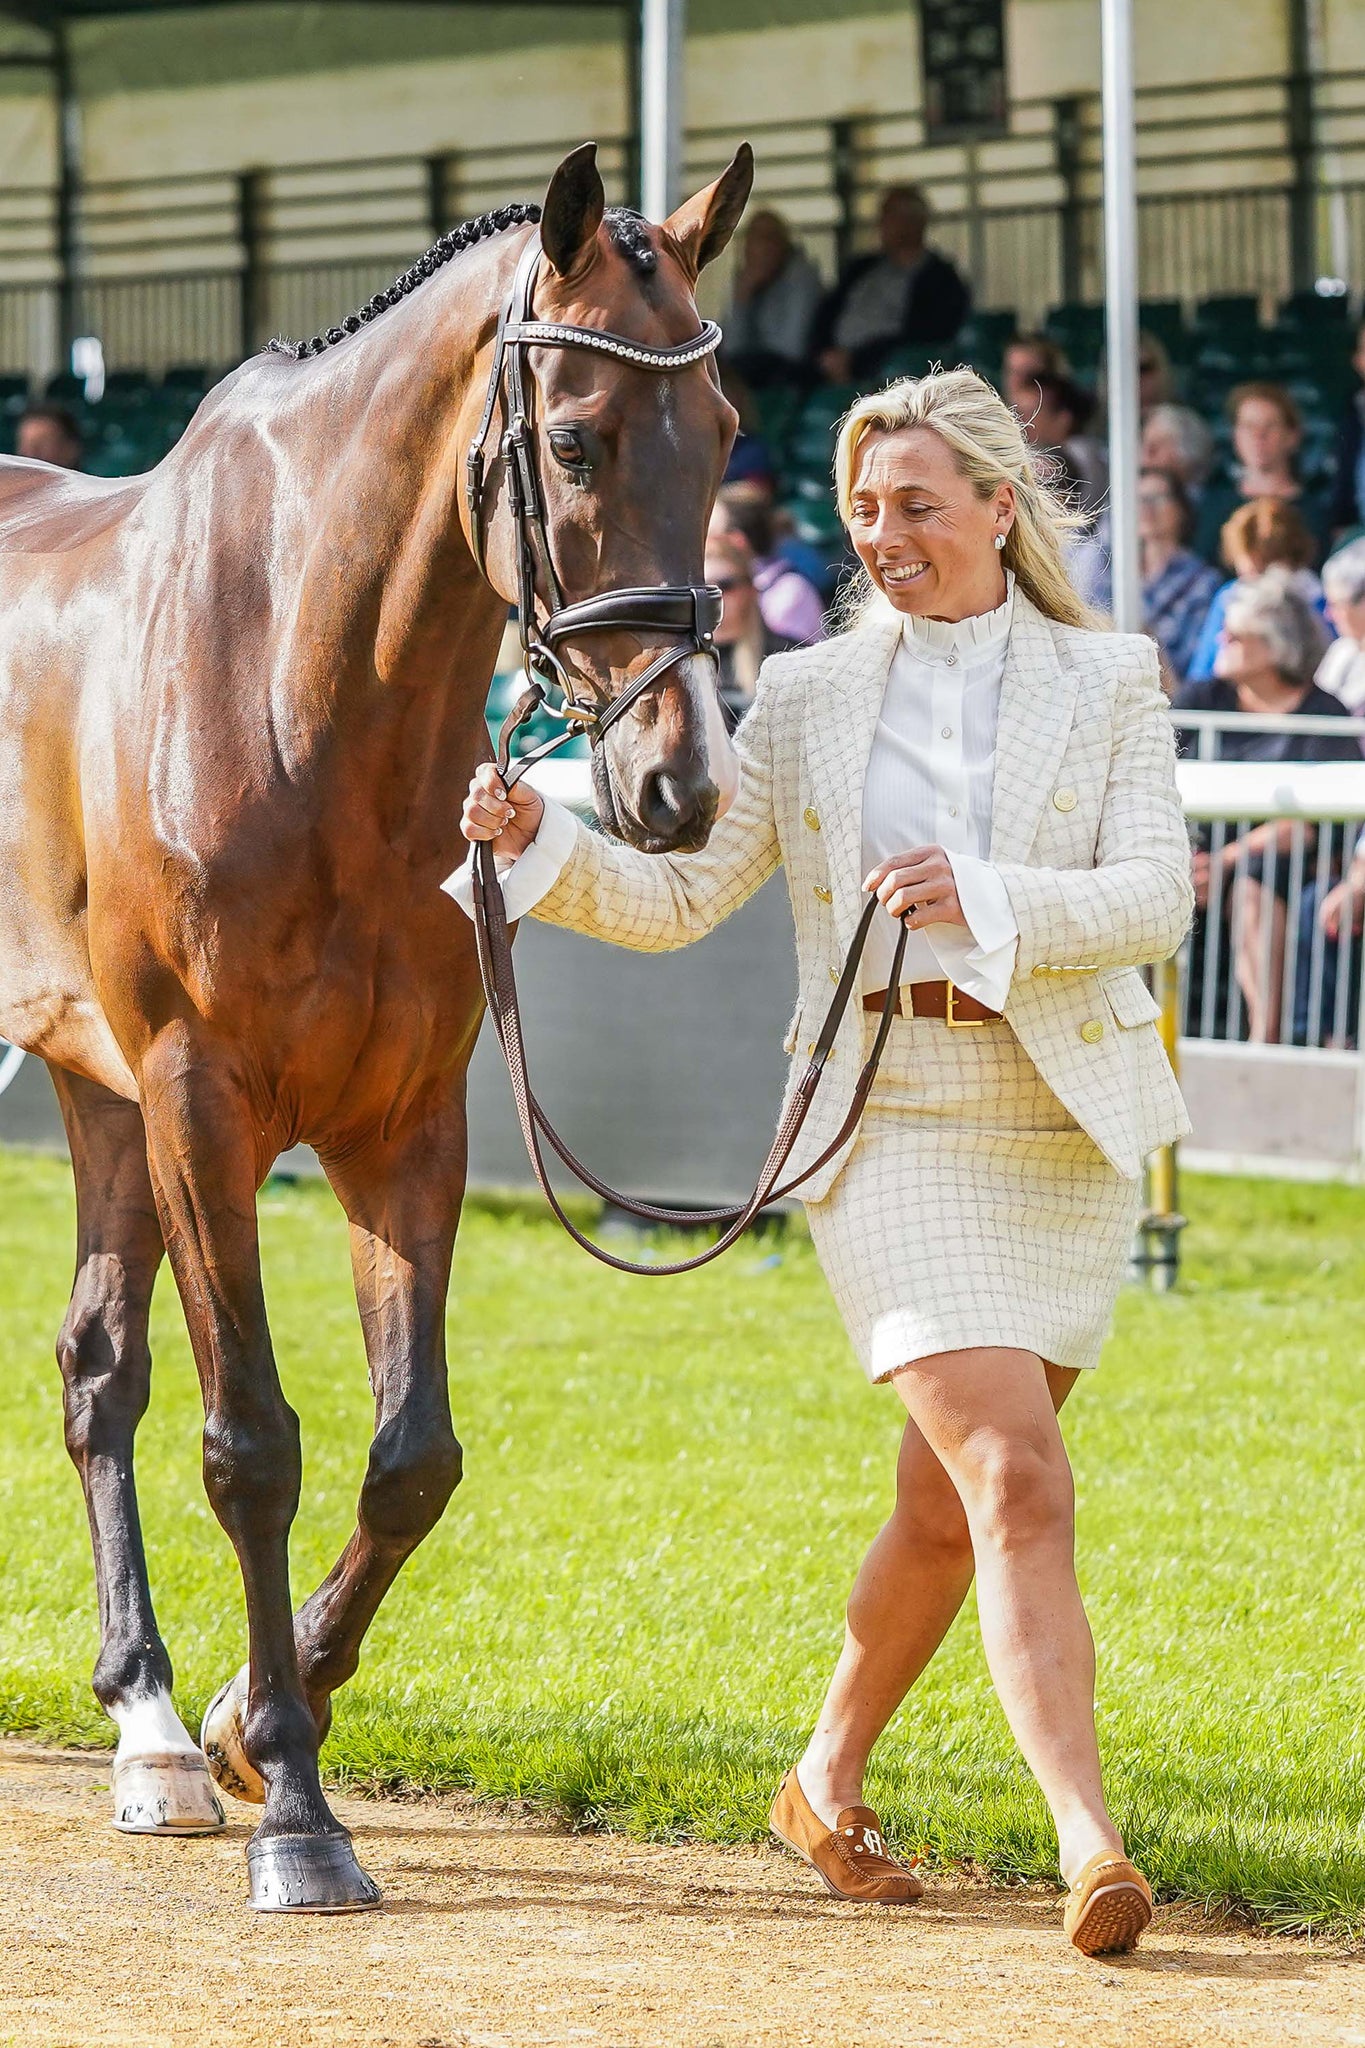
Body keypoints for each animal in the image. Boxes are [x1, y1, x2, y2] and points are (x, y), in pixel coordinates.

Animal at [0, 140, 753, 1900]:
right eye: (574, 436)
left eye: (728, 431)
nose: (676, 780)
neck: (292, 687)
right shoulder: (203, 1105)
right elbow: (253, 1444)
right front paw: (294, 1803)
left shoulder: (399, 1120)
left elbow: (412, 1459)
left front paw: (232, 1724)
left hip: (89, 1083)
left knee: (95, 1369)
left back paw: (144, 1728)